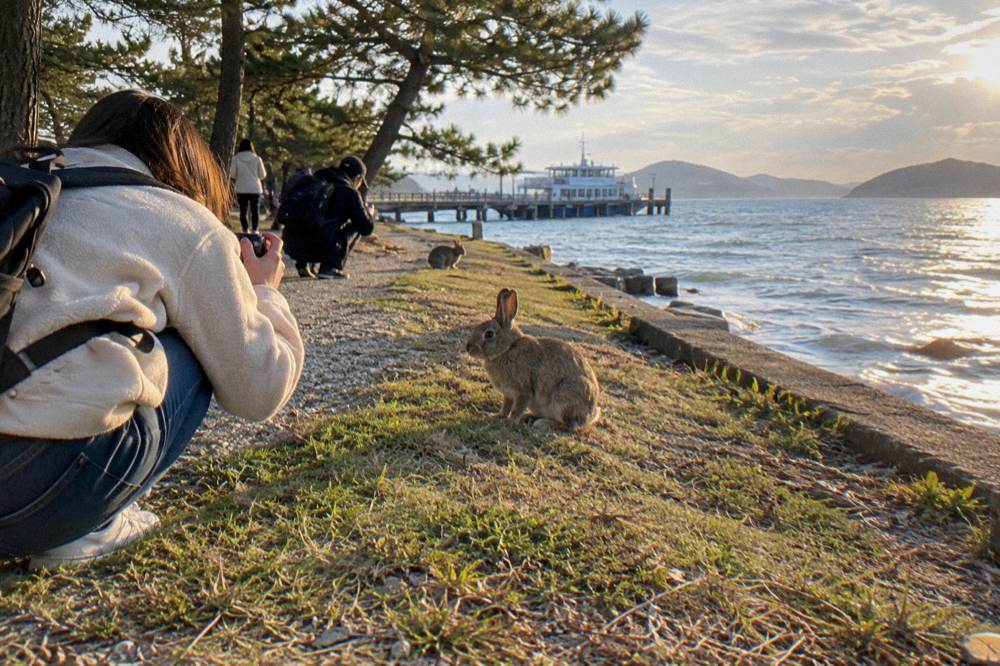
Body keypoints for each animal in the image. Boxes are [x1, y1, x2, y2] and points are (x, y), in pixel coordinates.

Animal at [466, 288, 601, 432]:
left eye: (489, 334)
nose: (468, 348)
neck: (508, 349)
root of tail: (591, 416)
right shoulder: (508, 394)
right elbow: (505, 407)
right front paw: (495, 416)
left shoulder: (523, 391)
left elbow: (516, 409)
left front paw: (509, 422)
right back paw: (529, 417)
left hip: (566, 398)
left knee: (569, 426)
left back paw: (543, 423)